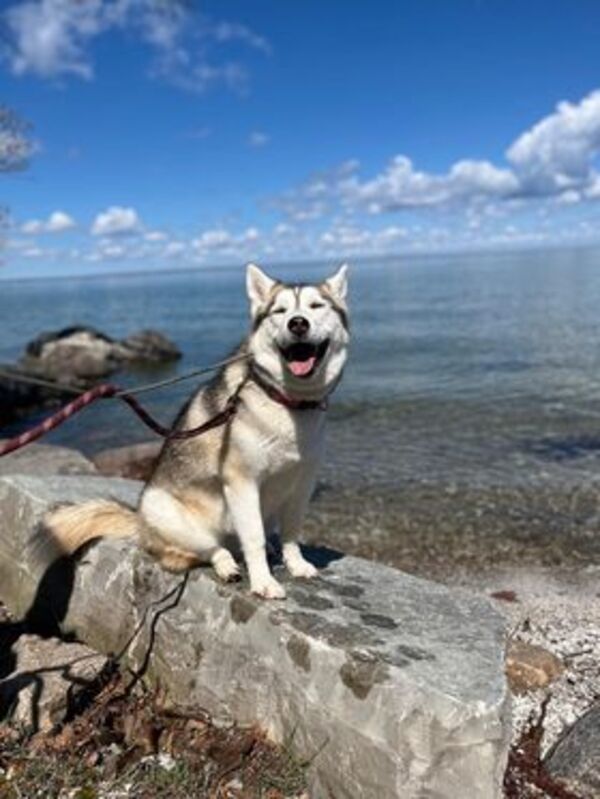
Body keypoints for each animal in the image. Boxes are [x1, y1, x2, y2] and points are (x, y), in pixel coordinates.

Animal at [45, 264, 352, 600]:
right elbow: (254, 538)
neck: (285, 401)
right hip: (169, 514)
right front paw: (263, 582)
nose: (297, 323)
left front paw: (296, 564)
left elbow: (292, 531)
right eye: (280, 311)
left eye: (316, 306)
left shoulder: (303, 481)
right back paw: (227, 565)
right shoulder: (242, 482)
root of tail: (140, 525)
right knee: (206, 550)